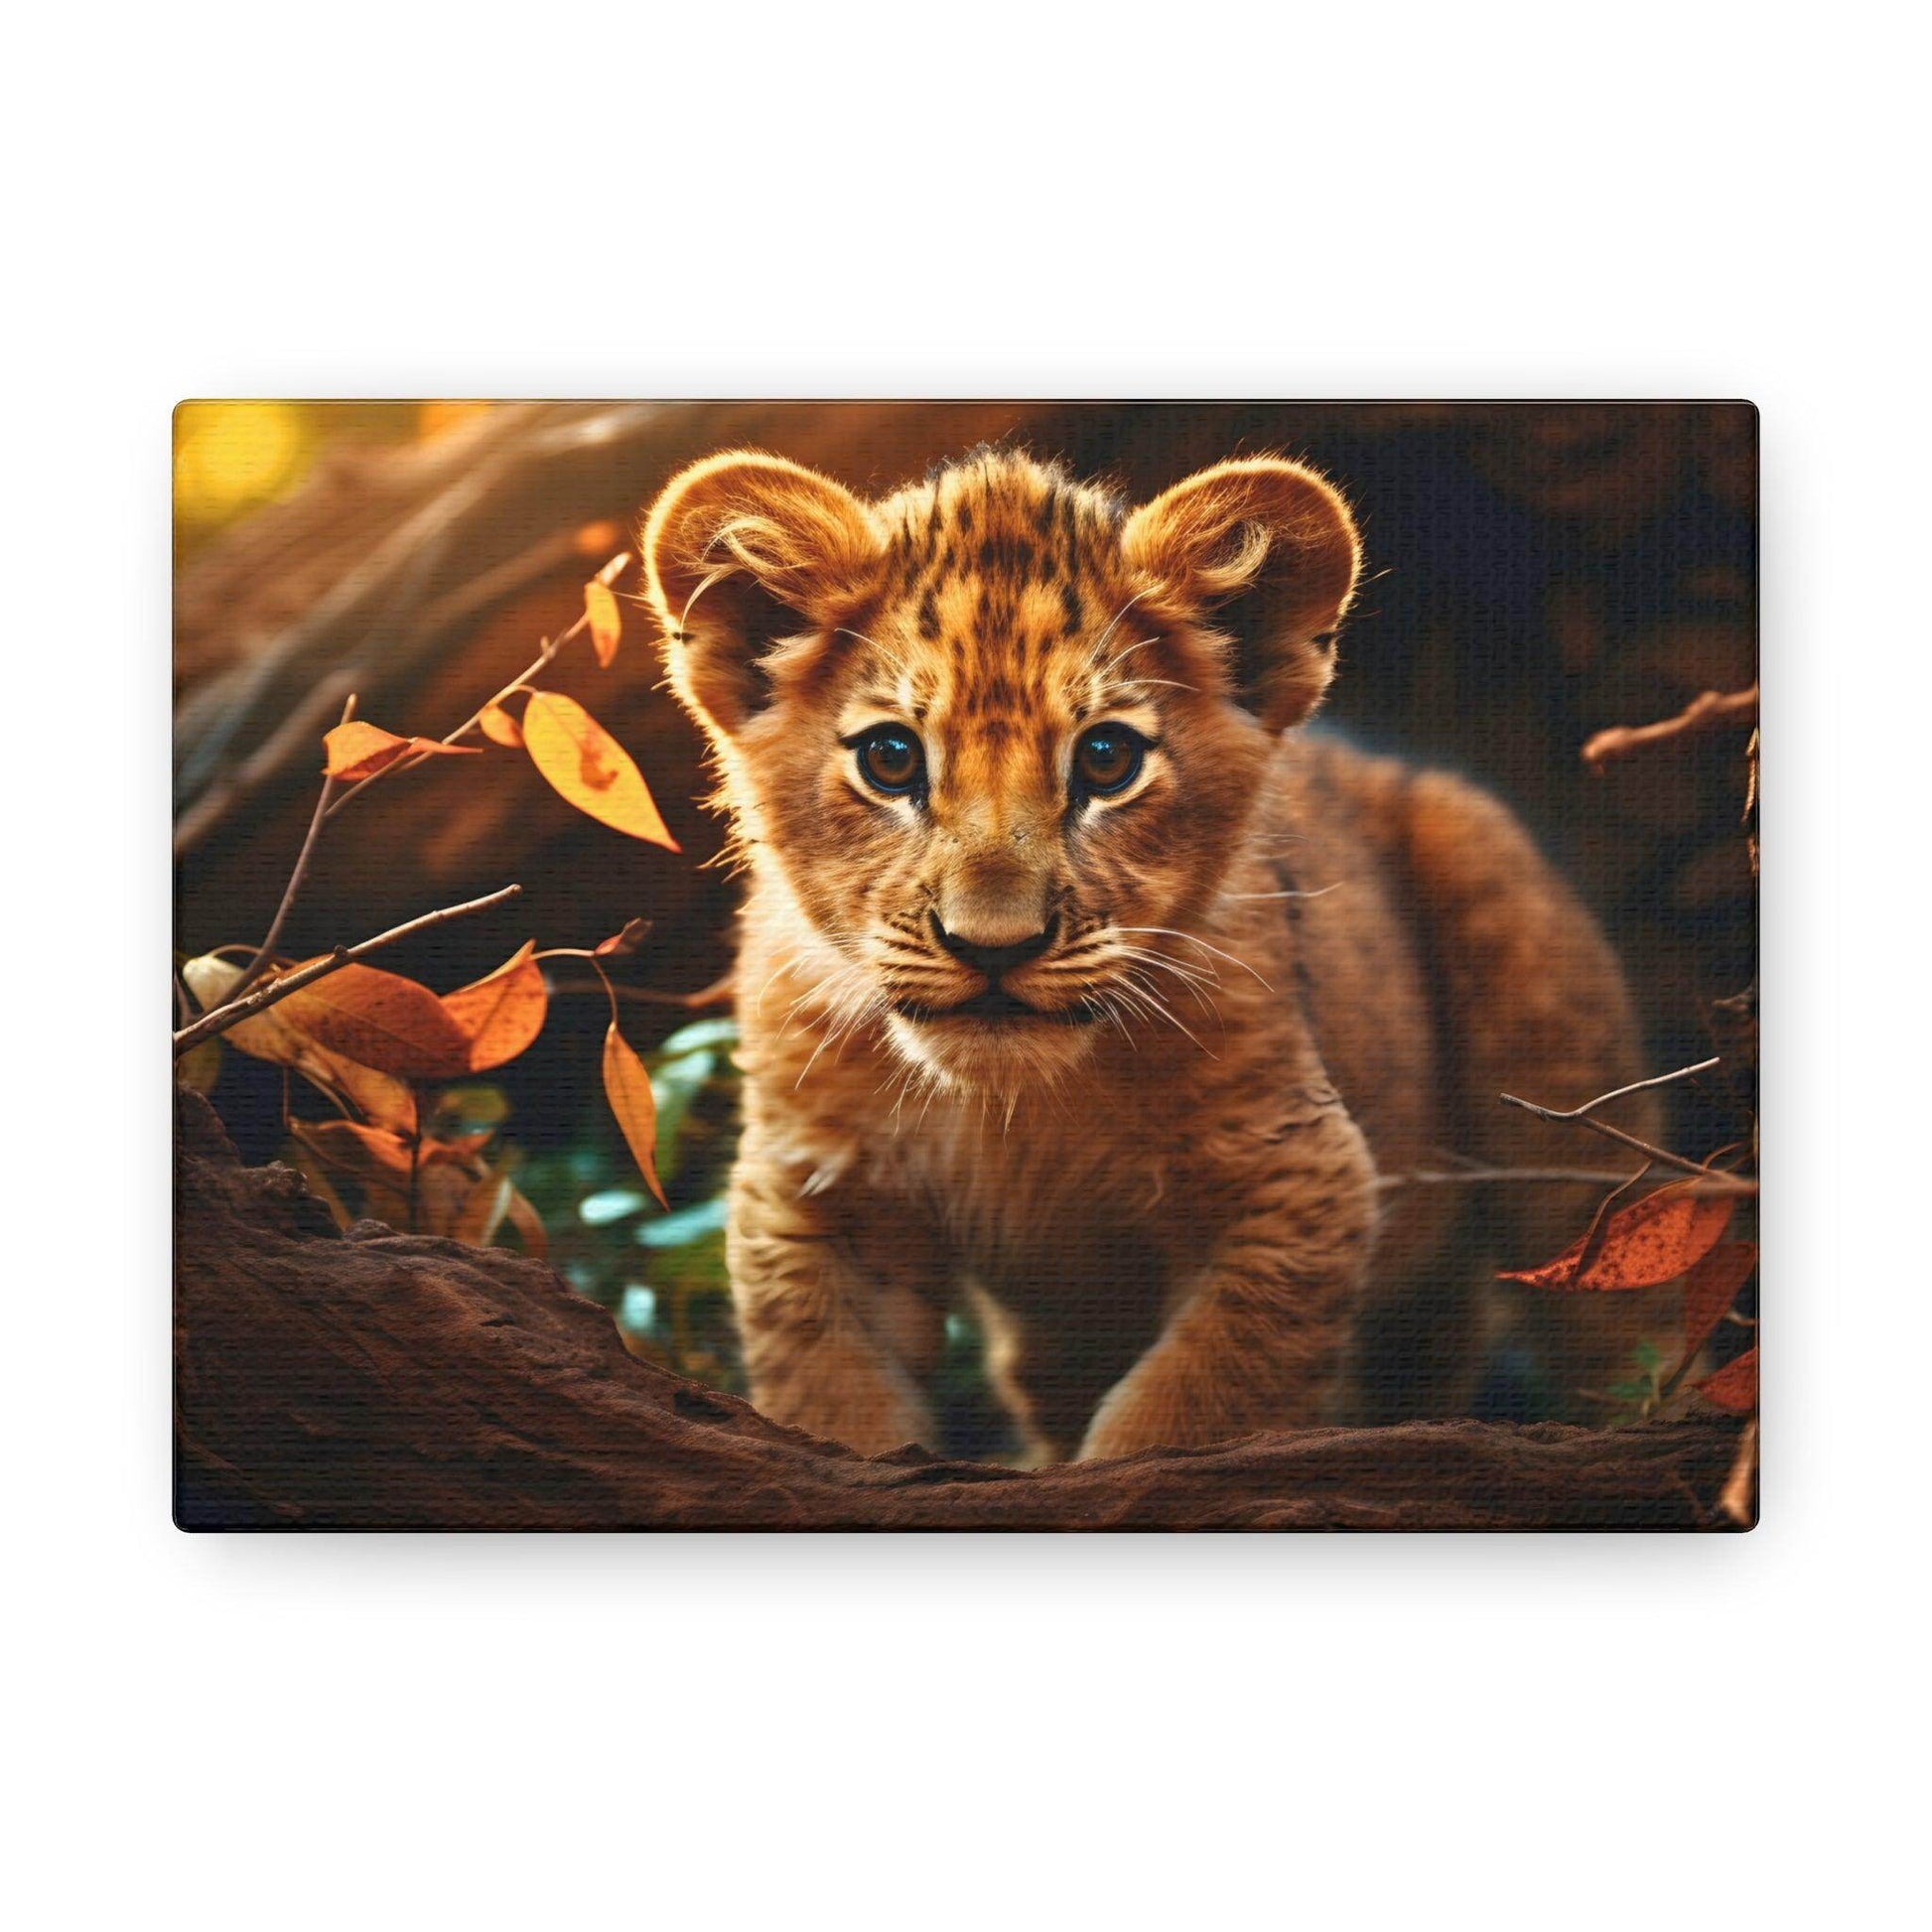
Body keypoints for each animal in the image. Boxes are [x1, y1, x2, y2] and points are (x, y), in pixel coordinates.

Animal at [639, 445, 1663, 1462]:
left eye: (1106, 760)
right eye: (891, 759)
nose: (994, 946)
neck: (1014, 1112)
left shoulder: (1297, 1174)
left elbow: (1184, 1408)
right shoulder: (817, 1199)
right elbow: (835, 1406)